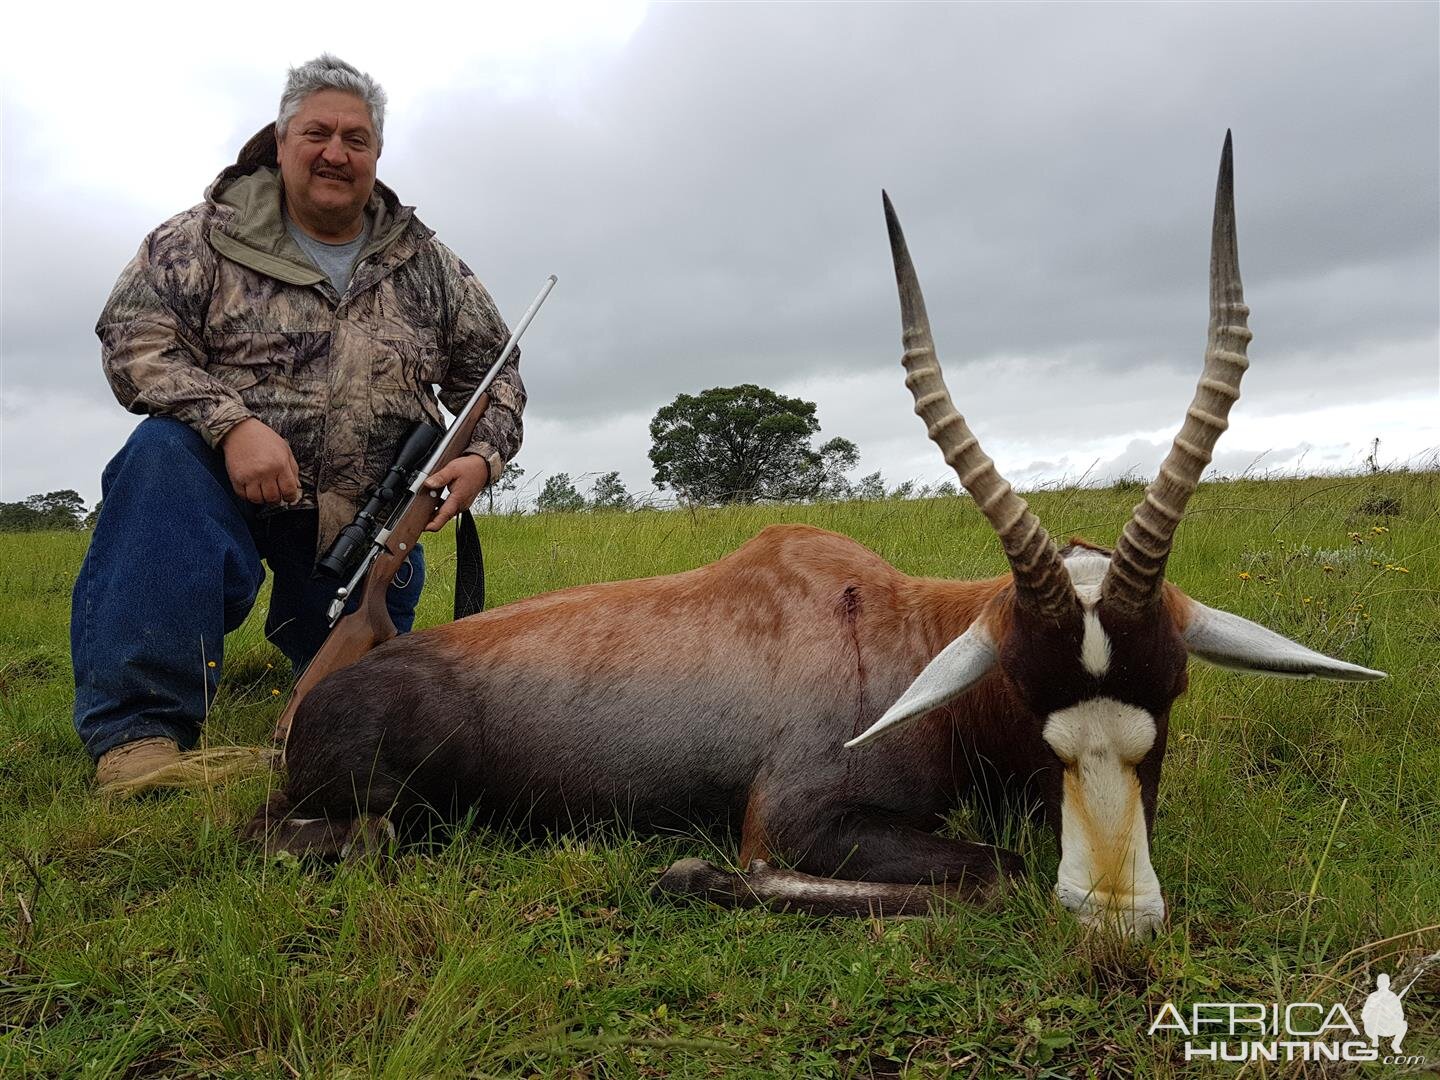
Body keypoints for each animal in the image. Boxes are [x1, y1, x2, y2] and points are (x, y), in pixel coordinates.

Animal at [247, 133, 1382, 933]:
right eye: (1025, 685)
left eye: (1173, 687)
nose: (1115, 912)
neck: (892, 624)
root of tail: (315, 700)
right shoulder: (797, 820)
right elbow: (978, 875)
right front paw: (690, 871)